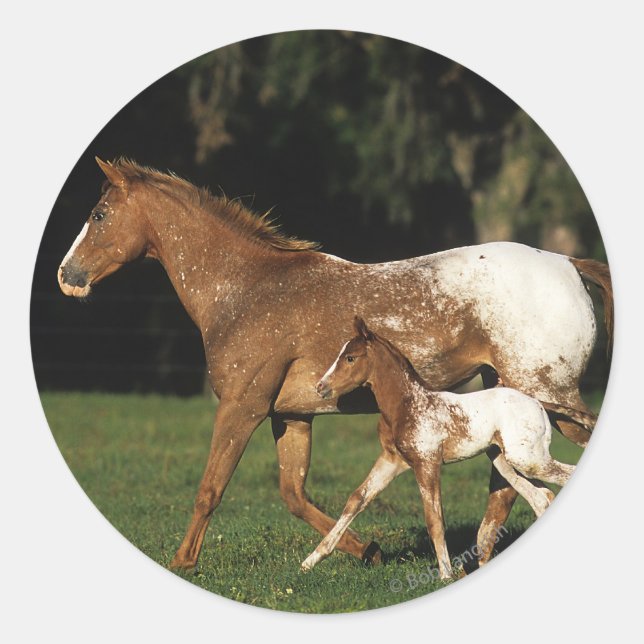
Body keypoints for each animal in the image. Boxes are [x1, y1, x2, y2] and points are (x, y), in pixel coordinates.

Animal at [302, 317, 575, 578]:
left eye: (350, 357)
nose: (320, 387)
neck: (408, 404)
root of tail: (538, 404)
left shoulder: (427, 463)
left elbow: (434, 519)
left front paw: (445, 574)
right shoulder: (391, 461)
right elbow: (356, 499)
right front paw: (310, 561)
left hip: (528, 460)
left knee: (562, 478)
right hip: (507, 463)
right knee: (541, 498)